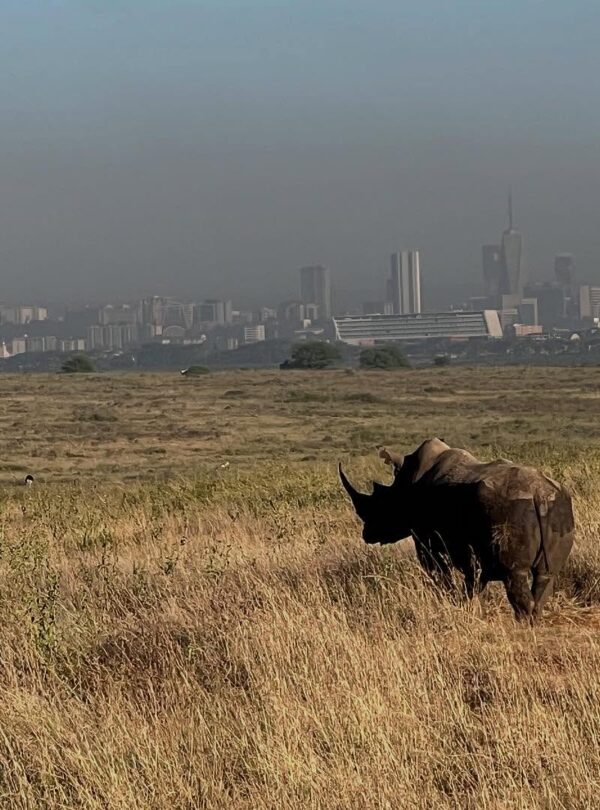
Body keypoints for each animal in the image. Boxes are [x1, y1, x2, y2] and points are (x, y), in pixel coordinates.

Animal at [339, 438, 575, 621]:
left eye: (380, 504)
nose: (367, 534)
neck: (404, 487)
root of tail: (538, 495)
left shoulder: (426, 542)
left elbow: (439, 574)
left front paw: (449, 600)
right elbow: (473, 581)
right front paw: (465, 604)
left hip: (514, 509)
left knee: (515, 575)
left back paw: (522, 627)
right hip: (559, 505)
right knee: (546, 576)